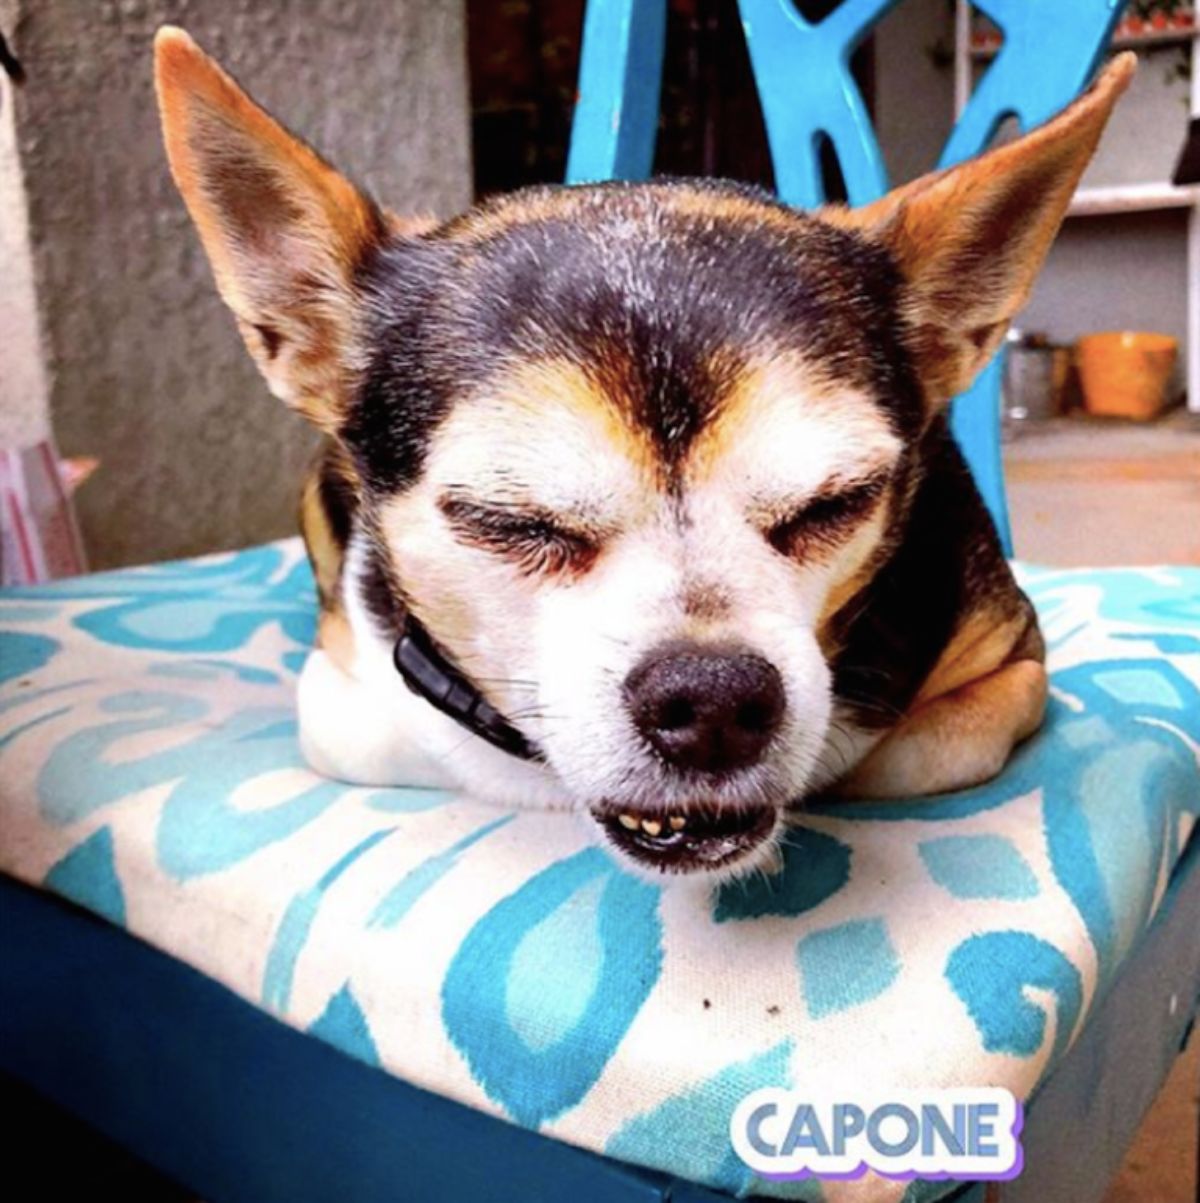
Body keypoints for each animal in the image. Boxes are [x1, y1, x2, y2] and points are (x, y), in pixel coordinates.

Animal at [152, 25, 1135, 875]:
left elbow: (895, 756)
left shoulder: (1018, 664)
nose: (714, 695)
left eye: (836, 504)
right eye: (508, 522)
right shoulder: (340, 704)